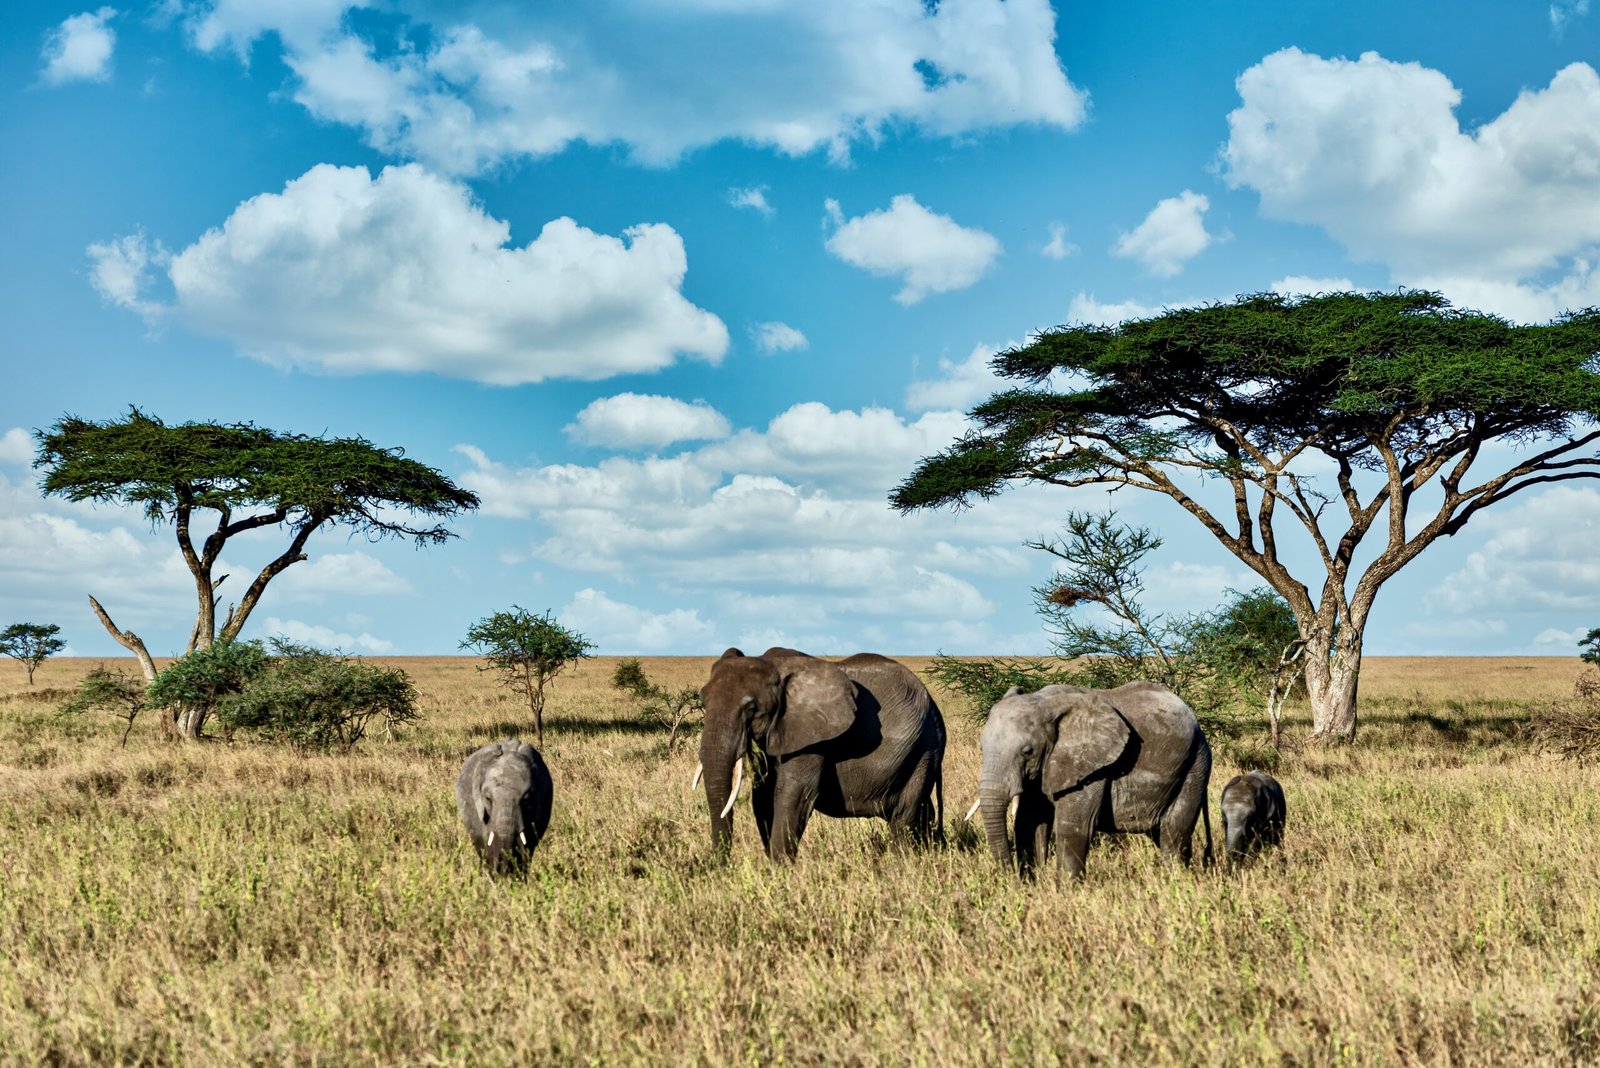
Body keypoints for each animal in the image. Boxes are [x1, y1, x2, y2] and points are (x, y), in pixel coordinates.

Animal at [694, 645, 940, 863]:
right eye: (703, 702)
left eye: (751, 708)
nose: (720, 867)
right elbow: (763, 795)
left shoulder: (812, 737)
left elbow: (793, 794)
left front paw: (779, 871)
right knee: (923, 812)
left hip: (924, 749)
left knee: (903, 816)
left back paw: (903, 863)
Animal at [972, 684, 1209, 876]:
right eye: (981, 748)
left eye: (1027, 751)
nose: (1009, 876)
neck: (1044, 702)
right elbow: (1028, 822)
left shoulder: (1090, 766)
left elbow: (1075, 827)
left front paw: (1065, 890)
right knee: (1161, 833)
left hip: (1195, 765)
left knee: (1173, 833)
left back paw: (1176, 880)